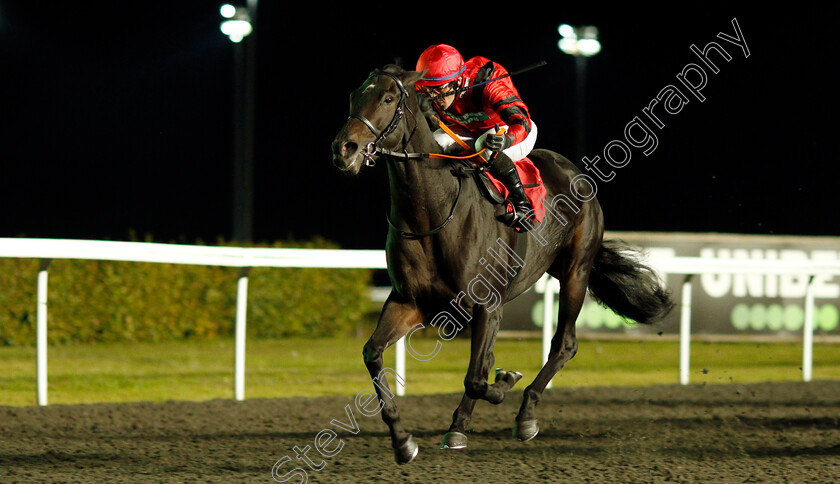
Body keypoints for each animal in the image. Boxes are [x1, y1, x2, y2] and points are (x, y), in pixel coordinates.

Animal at [330, 65, 676, 466]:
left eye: (387, 98)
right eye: (353, 96)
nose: (344, 149)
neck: (431, 214)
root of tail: (569, 168)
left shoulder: (485, 303)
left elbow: (478, 378)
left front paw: (505, 382)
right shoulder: (409, 302)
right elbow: (374, 354)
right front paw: (403, 441)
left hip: (576, 271)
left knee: (564, 344)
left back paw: (524, 415)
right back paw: (460, 427)